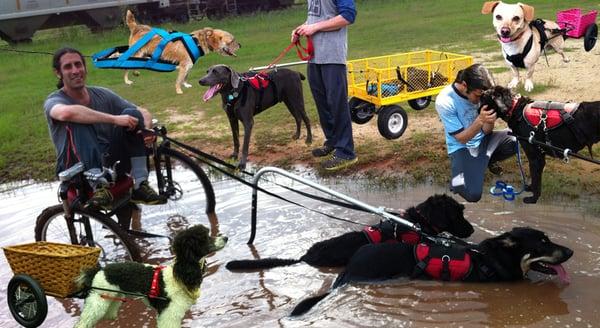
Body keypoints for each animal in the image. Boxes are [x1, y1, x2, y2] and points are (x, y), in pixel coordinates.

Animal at [73, 226, 227, 328]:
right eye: (205, 238)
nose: (225, 238)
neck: (180, 276)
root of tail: (100, 270)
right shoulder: (168, 315)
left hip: (112, 297)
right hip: (98, 300)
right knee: (83, 322)